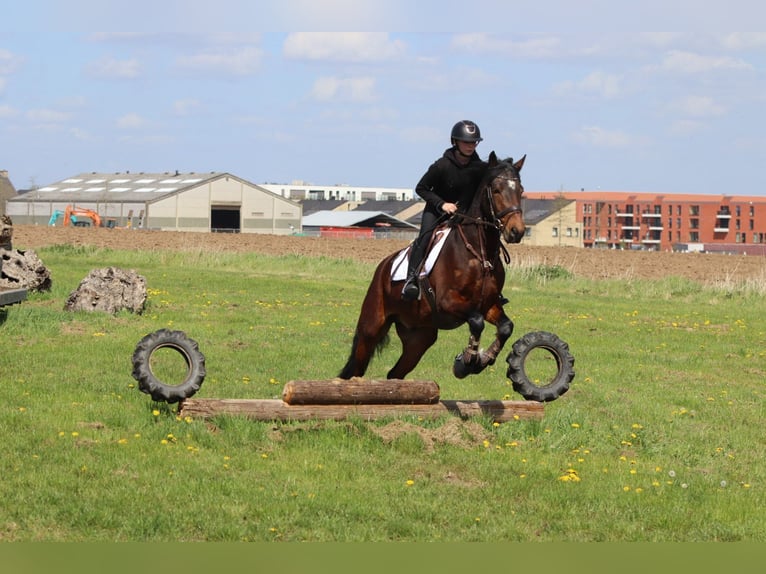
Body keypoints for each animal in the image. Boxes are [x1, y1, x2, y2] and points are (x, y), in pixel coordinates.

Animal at [339, 151, 526, 381]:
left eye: (520, 190)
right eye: (497, 190)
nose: (516, 231)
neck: (479, 253)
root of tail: (383, 267)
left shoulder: (488, 304)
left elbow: (506, 327)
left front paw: (482, 359)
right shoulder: (448, 302)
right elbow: (476, 321)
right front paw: (467, 362)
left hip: (419, 337)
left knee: (395, 373)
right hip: (371, 327)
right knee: (356, 367)